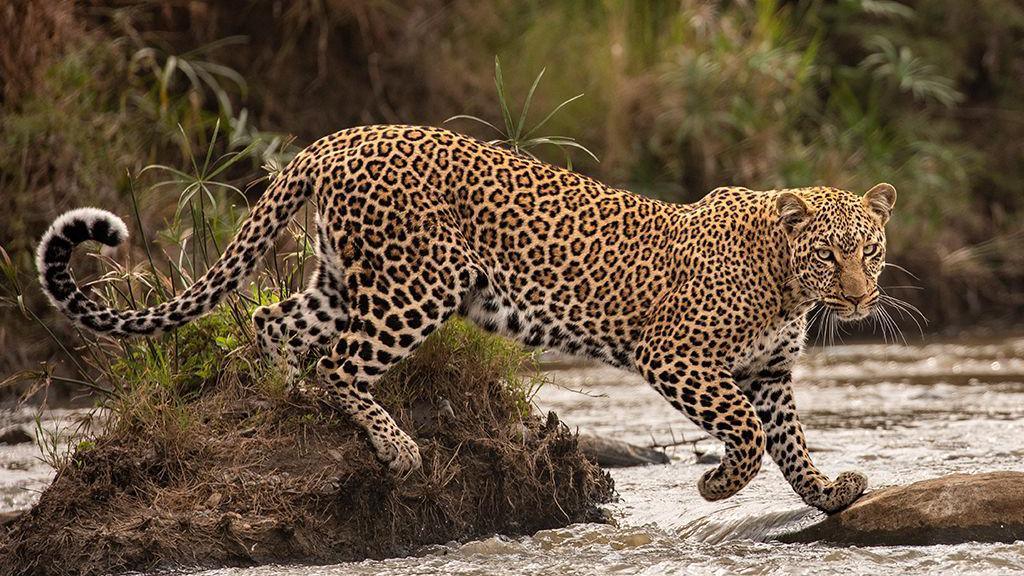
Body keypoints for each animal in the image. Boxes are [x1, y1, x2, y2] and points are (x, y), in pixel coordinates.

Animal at [37, 123, 897, 508]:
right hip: (417, 285)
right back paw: (397, 449)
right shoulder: (677, 356)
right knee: (341, 362)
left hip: (345, 279)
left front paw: (828, 491)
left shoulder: (769, 371)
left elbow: (788, 439)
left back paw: (288, 400)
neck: (786, 283)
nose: (861, 297)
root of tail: (338, 138)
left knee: (273, 323)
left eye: (872, 249)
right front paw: (719, 485)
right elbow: (748, 434)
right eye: (830, 255)